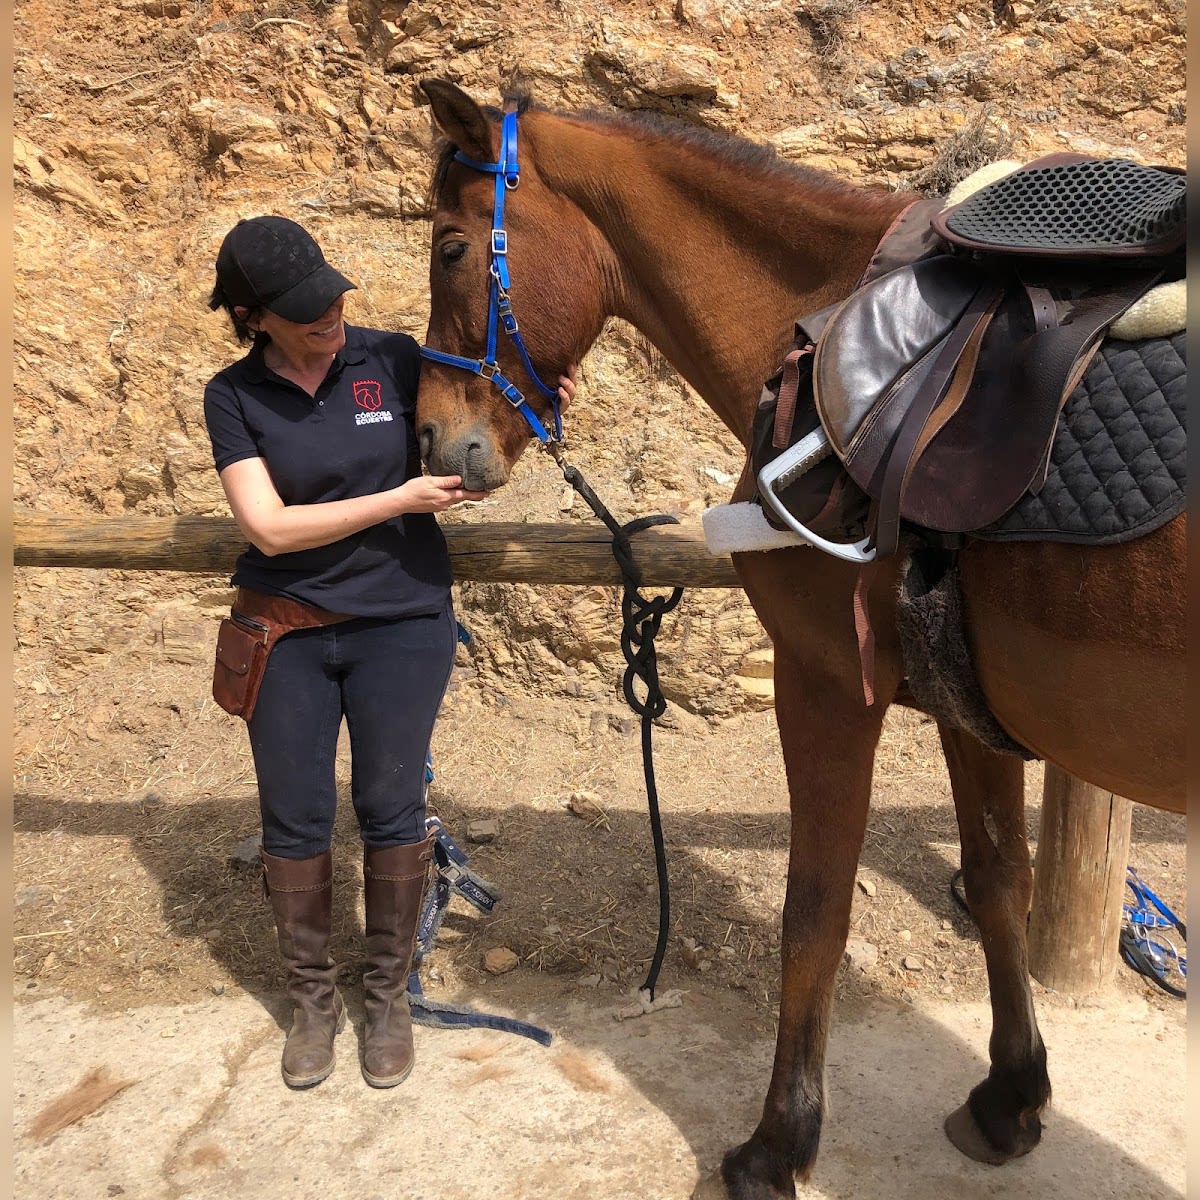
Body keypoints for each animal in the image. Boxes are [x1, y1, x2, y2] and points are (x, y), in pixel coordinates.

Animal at [413, 80, 1186, 1200]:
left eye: (451, 247)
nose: (434, 440)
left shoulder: (824, 685)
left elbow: (813, 915)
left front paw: (777, 1144)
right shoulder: (966, 706)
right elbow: (998, 879)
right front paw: (1010, 1097)